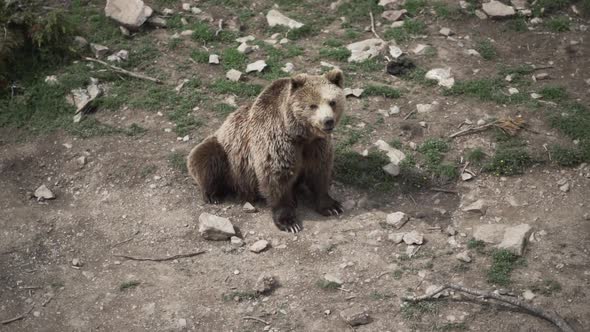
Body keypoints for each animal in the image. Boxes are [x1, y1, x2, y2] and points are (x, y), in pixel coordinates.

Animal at [188, 68, 346, 232]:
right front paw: (289, 222)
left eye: (332, 102)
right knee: (205, 157)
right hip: (227, 154)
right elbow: (276, 177)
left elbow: (319, 172)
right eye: (313, 105)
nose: (328, 121)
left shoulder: (316, 146)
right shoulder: (276, 141)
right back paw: (212, 195)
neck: (300, 135)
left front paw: (332, 206)